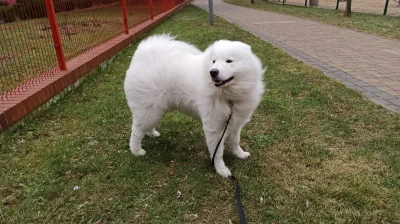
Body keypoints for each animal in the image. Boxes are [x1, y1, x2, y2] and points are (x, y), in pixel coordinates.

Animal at [123, 35, 264, 178]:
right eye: (214, 61)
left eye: (229, 61)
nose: (213, 72)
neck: (228, 97)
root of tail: (142, 55)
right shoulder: (214, 128)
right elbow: (217, 153)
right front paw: (221, 170)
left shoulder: (235, 123)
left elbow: (235, 141)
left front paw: (240, 154)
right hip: (149, 110)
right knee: (136, 131)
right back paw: (136, 151)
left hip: (156, 111)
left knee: (144, 127)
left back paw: (152, 133)